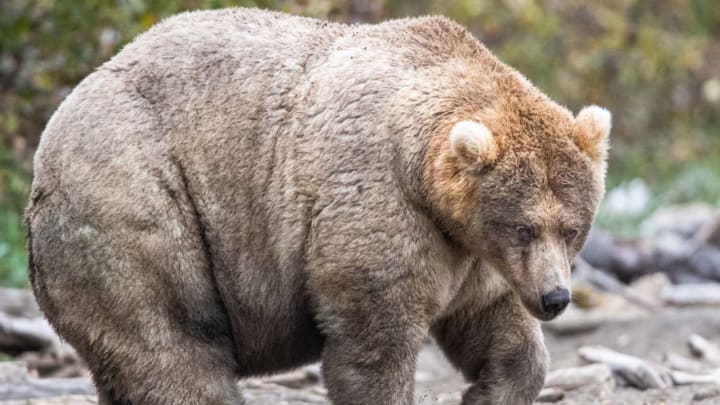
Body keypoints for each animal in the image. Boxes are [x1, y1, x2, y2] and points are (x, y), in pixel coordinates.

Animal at [26, 6, 612, 404]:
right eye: (524, 227)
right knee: (171, 345)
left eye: (572, 229)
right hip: (137, 205)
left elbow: (494, 323)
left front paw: (486, 390)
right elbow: (375, 339)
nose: (556, 298)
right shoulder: (380, 201)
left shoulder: (470, 250)